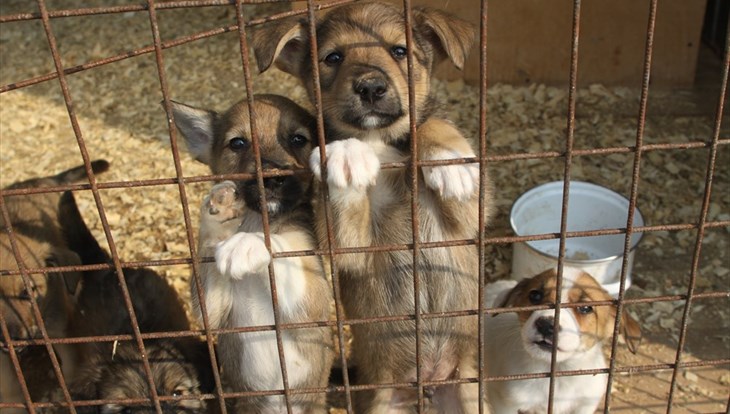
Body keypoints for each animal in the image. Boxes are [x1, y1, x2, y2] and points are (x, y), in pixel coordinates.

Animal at [171, 95, 332, 412]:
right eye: (238, 143)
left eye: (298, 139)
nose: (271, 179)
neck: (258, 220)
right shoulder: (212, 312)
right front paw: (220, 213)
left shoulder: (315, 299)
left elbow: (283, 248)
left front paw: (249, 244)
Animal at [252, 1, 494, 412]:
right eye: (333, 57)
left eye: (399, 51)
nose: (370, 87)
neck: (379, 141)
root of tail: (426, 384)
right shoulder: (350, 249)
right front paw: (346, 155)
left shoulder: (469, 220)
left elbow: (430, 126)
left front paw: (450, 158)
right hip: (382, 400)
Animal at [484, 268, 644, 414]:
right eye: (535, 295)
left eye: (585, 308)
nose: (546, 325)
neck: (559, 373)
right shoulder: (506, 404)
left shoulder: (586, 404)